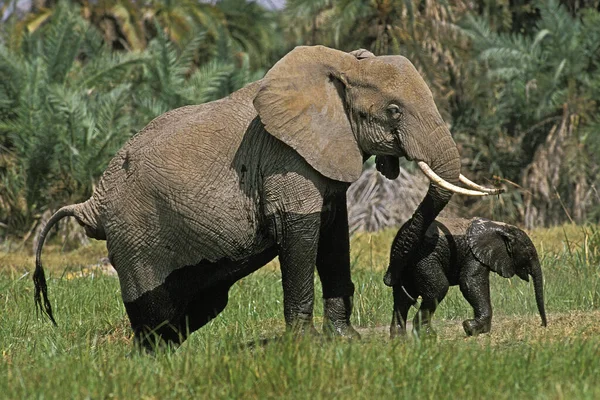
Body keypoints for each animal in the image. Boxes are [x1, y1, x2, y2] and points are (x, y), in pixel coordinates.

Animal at [35, 45, 500, 348]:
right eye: (394, 111)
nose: (395, 280)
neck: (339, 66)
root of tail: (92, 204)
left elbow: (334, 238)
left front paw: (345, 339)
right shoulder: (284, 158)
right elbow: (301, 236)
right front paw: (304, 345)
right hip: (134, 236)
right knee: (153, 312)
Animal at [390, 217, 548, 336]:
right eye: (529, 254)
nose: (543, 325)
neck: (500, 227)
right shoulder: (473, 254)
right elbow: (470, 282)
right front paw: (471, 328)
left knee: (402, 298)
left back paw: (399, 339)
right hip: (424, 259)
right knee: (438, 288)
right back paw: (427, 335)